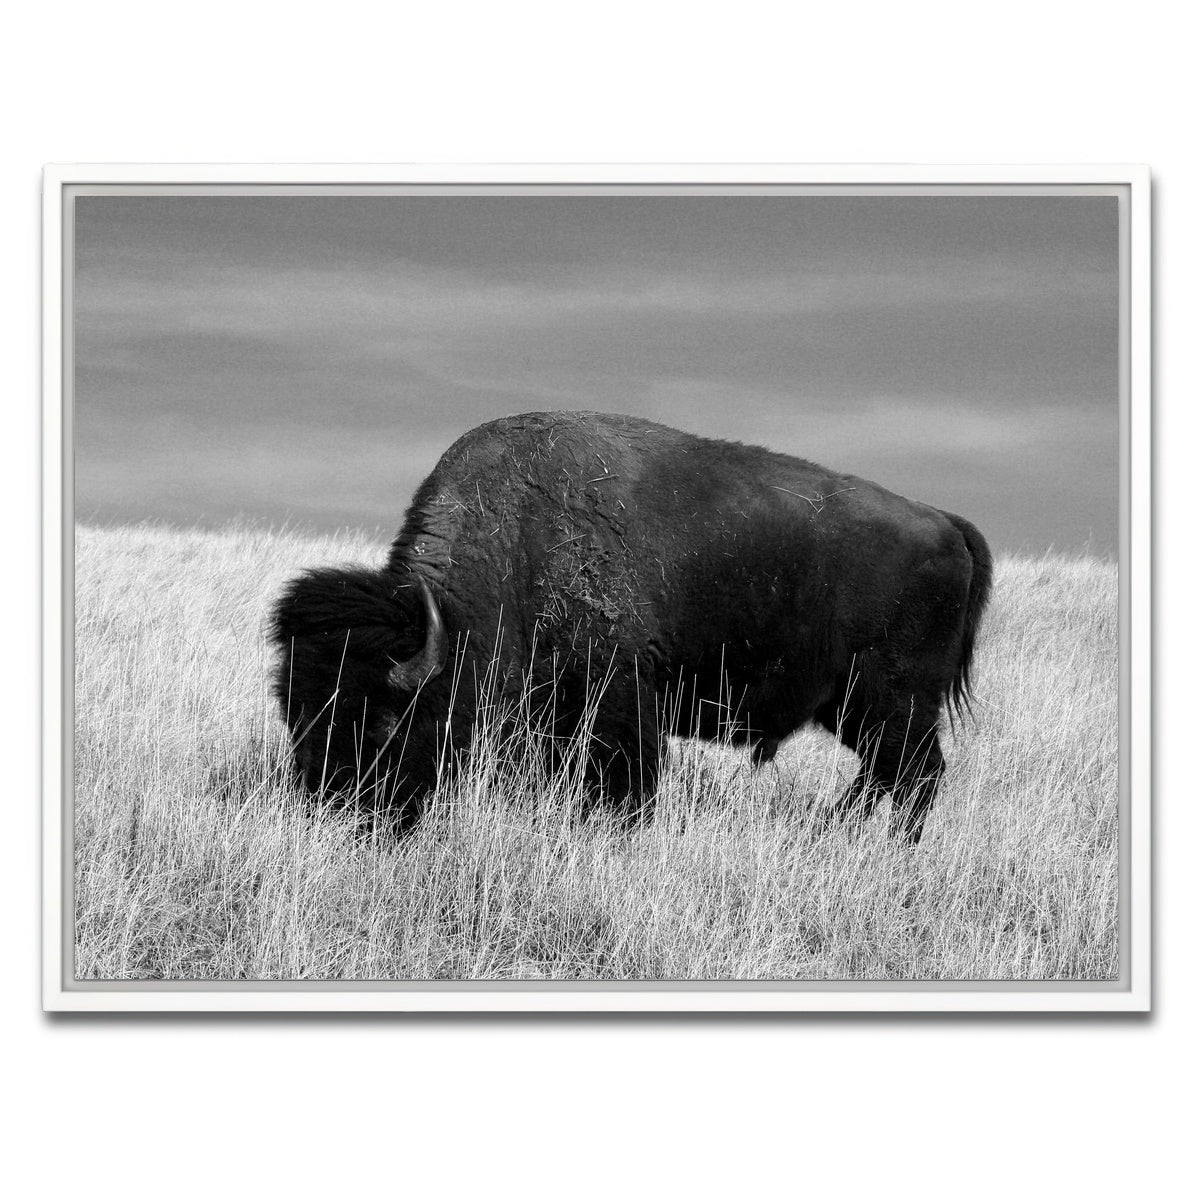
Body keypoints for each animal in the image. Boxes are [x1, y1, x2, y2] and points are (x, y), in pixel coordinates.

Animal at [271, 411, 991, 842]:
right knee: (885, 773)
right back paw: (838, 832)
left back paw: (885, 845)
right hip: (852, 707)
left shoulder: (619, 698)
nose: (332, 809)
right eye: (296, 712)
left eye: (383, 718)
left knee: (914, 774)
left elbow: (626, 781)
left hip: (893, 700)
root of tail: (945, 522)